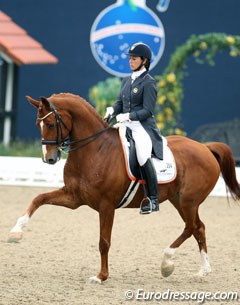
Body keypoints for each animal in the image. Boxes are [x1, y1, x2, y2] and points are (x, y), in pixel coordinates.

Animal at [8, 92, 239, 282]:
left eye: (50, 124)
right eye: (38, 123)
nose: (49, 159)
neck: (95, 150)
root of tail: (205, 147)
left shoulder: (106, 205)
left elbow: (103, 242)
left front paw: (101, 276)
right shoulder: (74, 198)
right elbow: (38, 198)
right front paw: (16, 232)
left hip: (188, 201)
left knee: (191, 227)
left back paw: (166, 263)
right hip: (179, 200)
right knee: (199, 227)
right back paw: (203, 271)